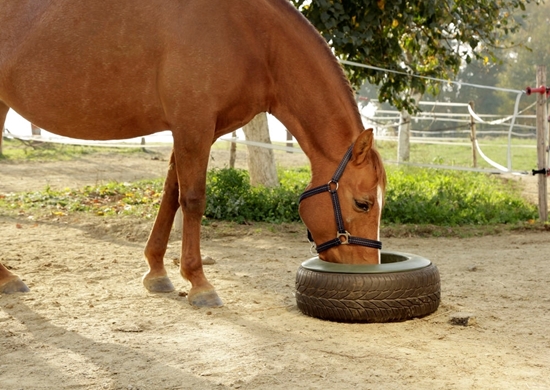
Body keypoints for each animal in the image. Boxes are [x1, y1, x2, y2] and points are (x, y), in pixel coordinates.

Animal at [0, 0, 388, 306]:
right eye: (363, 203)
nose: (367, 270)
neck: (250, 35)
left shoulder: (194, 130)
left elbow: (170, 195)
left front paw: (157, 272)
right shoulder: (193, 126)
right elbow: (193, 200)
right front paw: (200, 283)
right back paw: (7, 277)